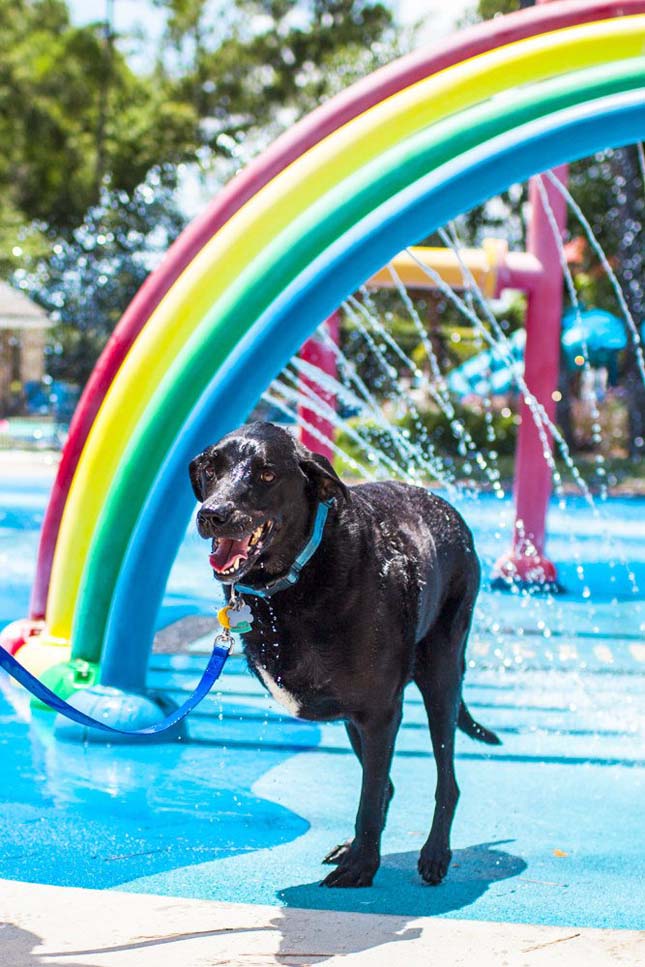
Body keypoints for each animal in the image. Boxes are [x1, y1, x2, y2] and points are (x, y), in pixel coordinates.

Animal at [187, 420, 498, 888]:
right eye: (211, 470)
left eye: (266, 474)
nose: (211, 514)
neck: (298, 576)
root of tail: (447, 508)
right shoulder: (362, 714)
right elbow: (376, 787)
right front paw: (360, 855)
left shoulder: (381, 713)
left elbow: (370, 796)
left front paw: (362, 866)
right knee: (387, 783)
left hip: (441, 677)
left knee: (445, 779)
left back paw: (434, 854)